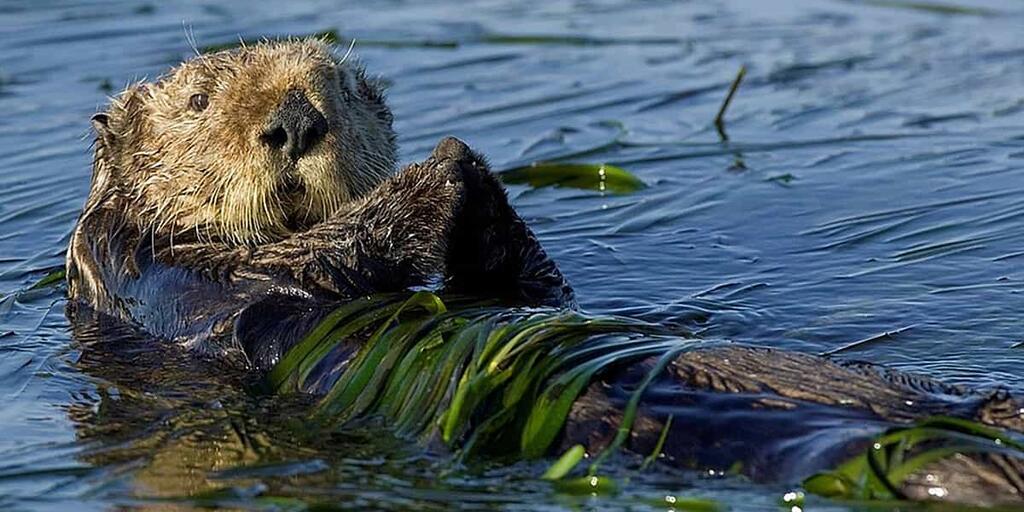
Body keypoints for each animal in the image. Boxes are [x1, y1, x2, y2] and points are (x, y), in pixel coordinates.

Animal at [67, 39, 1024, 506]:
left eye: (342, 87)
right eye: (198, 102)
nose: (297, 121)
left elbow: (528, 289)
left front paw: (475, 179)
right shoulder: (173, 274)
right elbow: (318, 263)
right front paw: (443, 171)